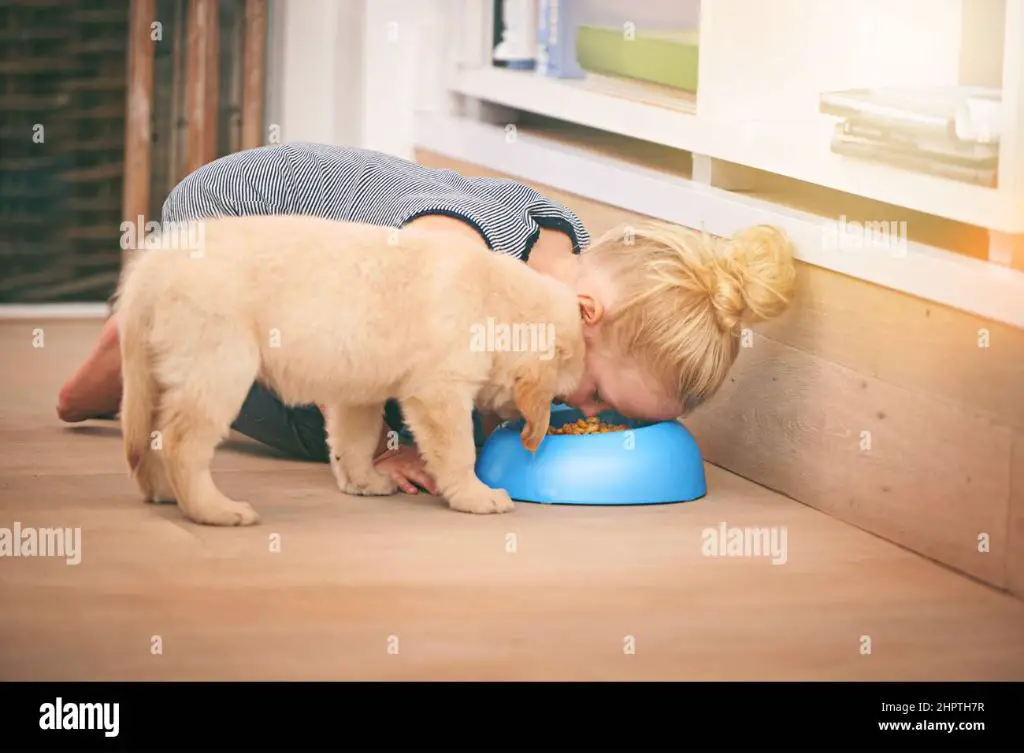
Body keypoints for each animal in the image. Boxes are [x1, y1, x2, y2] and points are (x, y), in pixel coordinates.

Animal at [114, 215, 585, 528]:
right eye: (559, 397)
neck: (493, 301)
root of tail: (152, 268)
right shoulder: (439, 391)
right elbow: (458, 451)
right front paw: (476, 496)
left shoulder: (358, 391)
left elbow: (353, 442)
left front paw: (364, 481)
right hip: (219, 363)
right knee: (182, 442)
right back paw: (215, 510)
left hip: (157, 371)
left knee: (147, 436)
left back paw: (161, 491)